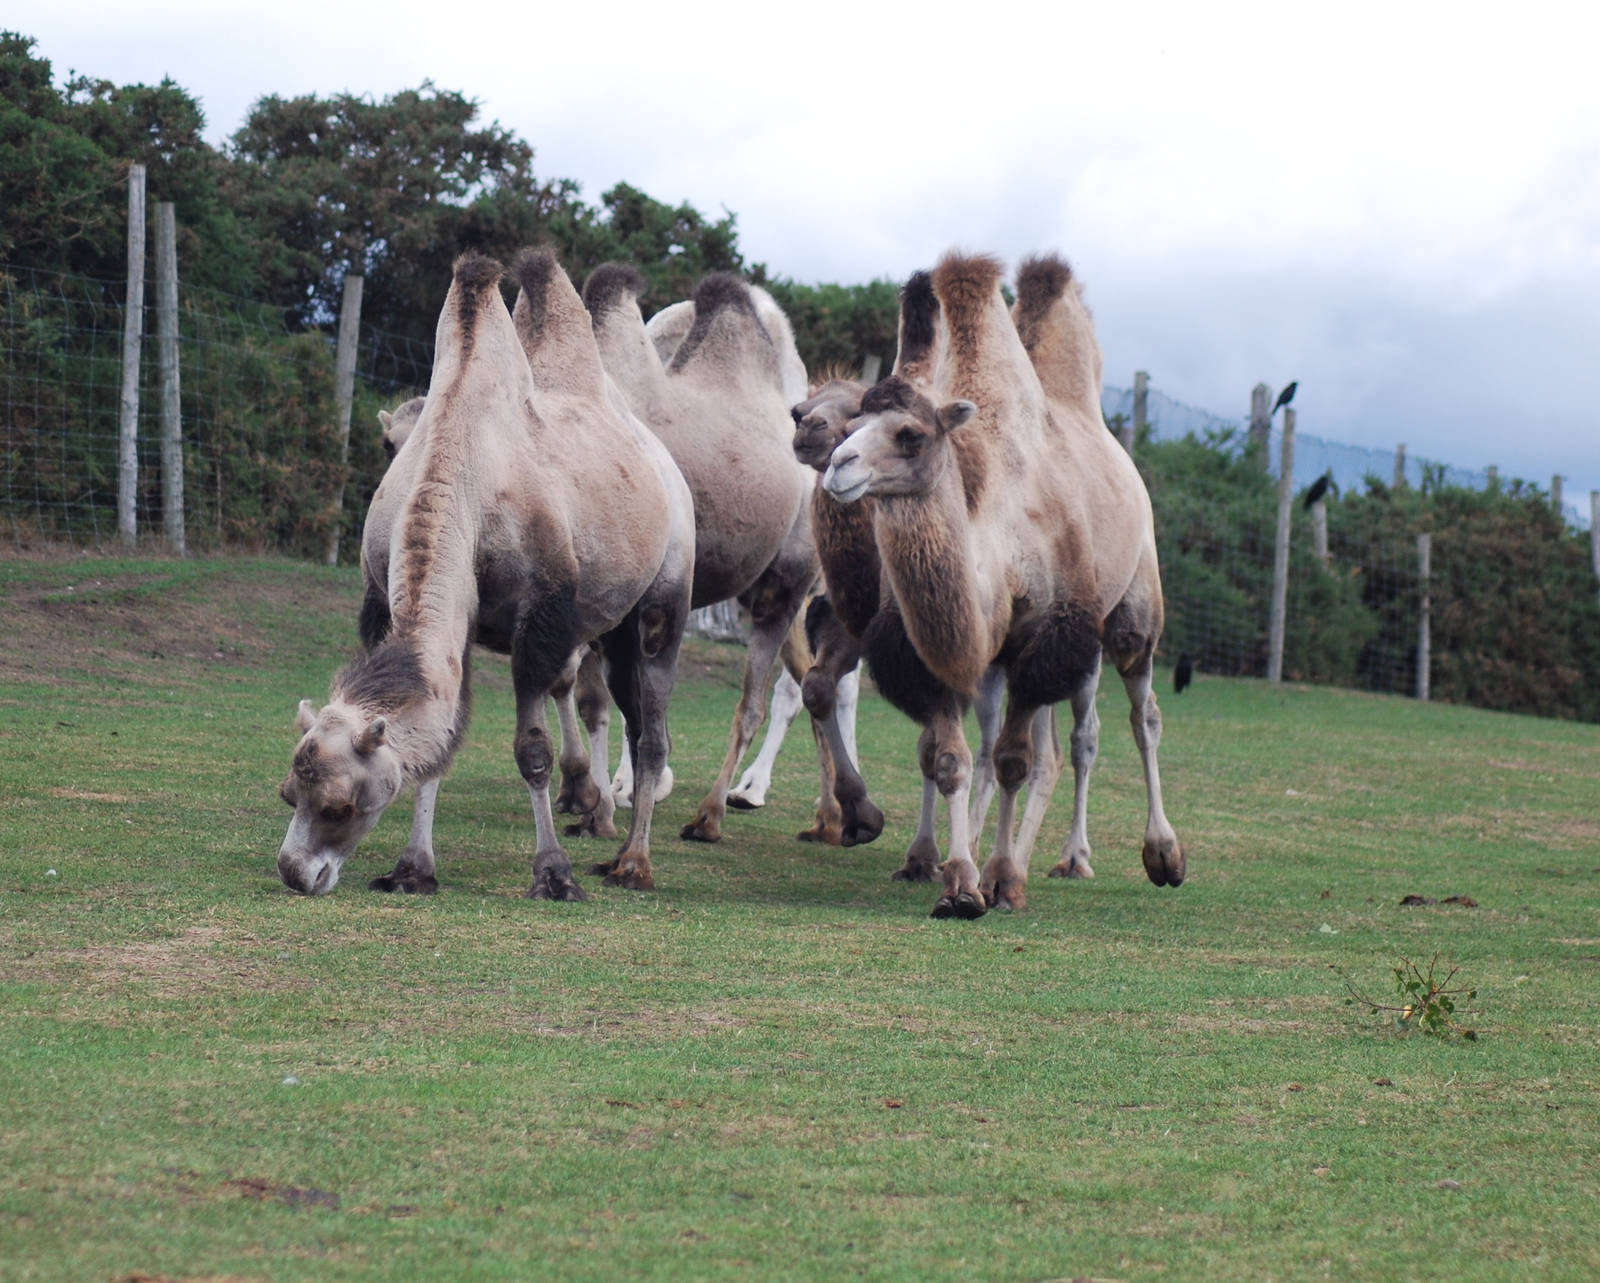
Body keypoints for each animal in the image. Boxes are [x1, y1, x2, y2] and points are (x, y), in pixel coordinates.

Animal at [276, 249, 694, 898]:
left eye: (341, 806)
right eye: (289, 793)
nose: (297, 873)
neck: (463, 471)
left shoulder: (539, 620)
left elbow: (532, 751)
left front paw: (553, 873)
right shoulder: (426, 609)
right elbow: (441, 738)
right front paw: (412, 868)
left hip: (667, 595)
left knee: (652, 729)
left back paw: (633, 863)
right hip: (614, 620)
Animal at [822, 251, 1184, 917]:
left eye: (910, 435)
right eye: (853, 422)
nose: (838, 464)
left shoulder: (1046, 635)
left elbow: (1014, 761)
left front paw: (1002, 879)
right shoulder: (938, 650)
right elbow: (953, 759)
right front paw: (961, 882)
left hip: (1129, 611)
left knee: (1130, 718)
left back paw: (1145, 857)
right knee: (1038, 745)